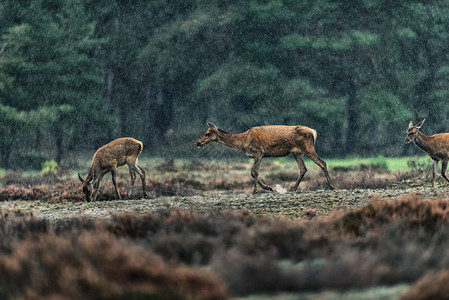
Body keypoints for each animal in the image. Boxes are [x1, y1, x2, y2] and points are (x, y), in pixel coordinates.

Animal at [195, 122, 332, 195]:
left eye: (207, 133)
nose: (197, 142)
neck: (243, 142)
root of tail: (314, 132)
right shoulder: (257, 155)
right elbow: (252, 173)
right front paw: (269, 188)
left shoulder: (259, 151)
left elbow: (254, 172)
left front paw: (255, 190)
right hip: (296, 153)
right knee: (303, 168)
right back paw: (293, 188)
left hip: (308, 148)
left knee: (322, 163)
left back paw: (331, 186)